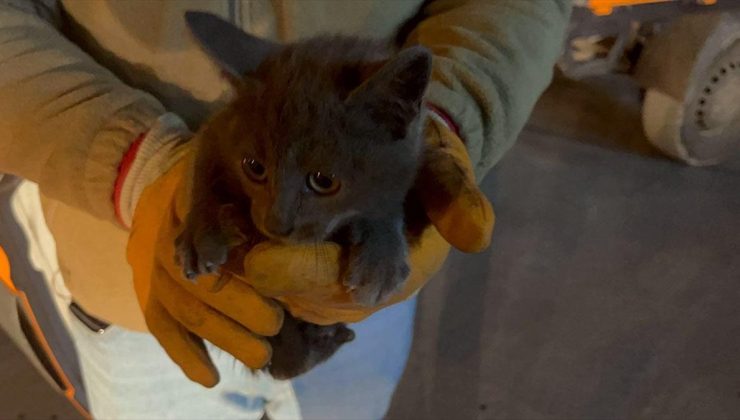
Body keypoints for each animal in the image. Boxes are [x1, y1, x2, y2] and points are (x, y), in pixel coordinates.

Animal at [178, 13, 434, 380]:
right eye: (254, 167)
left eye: (323, 181)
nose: (275, 223)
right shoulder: (219, 128)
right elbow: (204, 161)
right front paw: (201, 232)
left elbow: (385, 202)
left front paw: (381, 254)